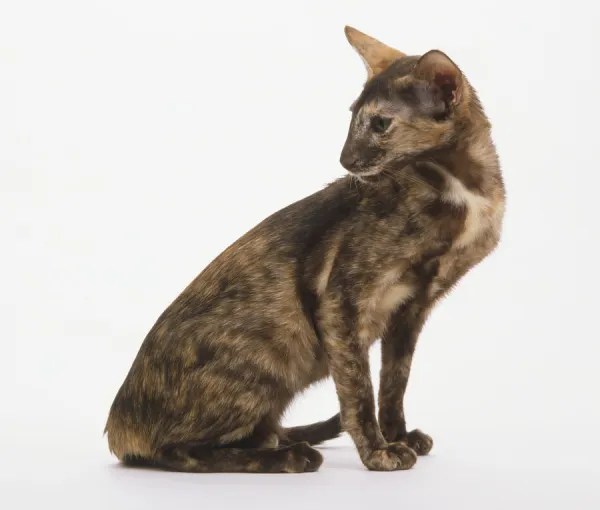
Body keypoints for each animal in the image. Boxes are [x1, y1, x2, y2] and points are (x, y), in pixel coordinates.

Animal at [105, 25, 504, 474]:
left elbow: (393, 383)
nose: (345, 160)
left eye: (381, 123)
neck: (462, 187)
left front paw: (398, 436)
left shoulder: (411, 310)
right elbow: (358, 389)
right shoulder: (341, 298)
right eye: (351, 117)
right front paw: (378, 451)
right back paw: (289, 456)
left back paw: (279, 441)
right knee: (176, 451)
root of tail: (118, 426)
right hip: (268, 355)